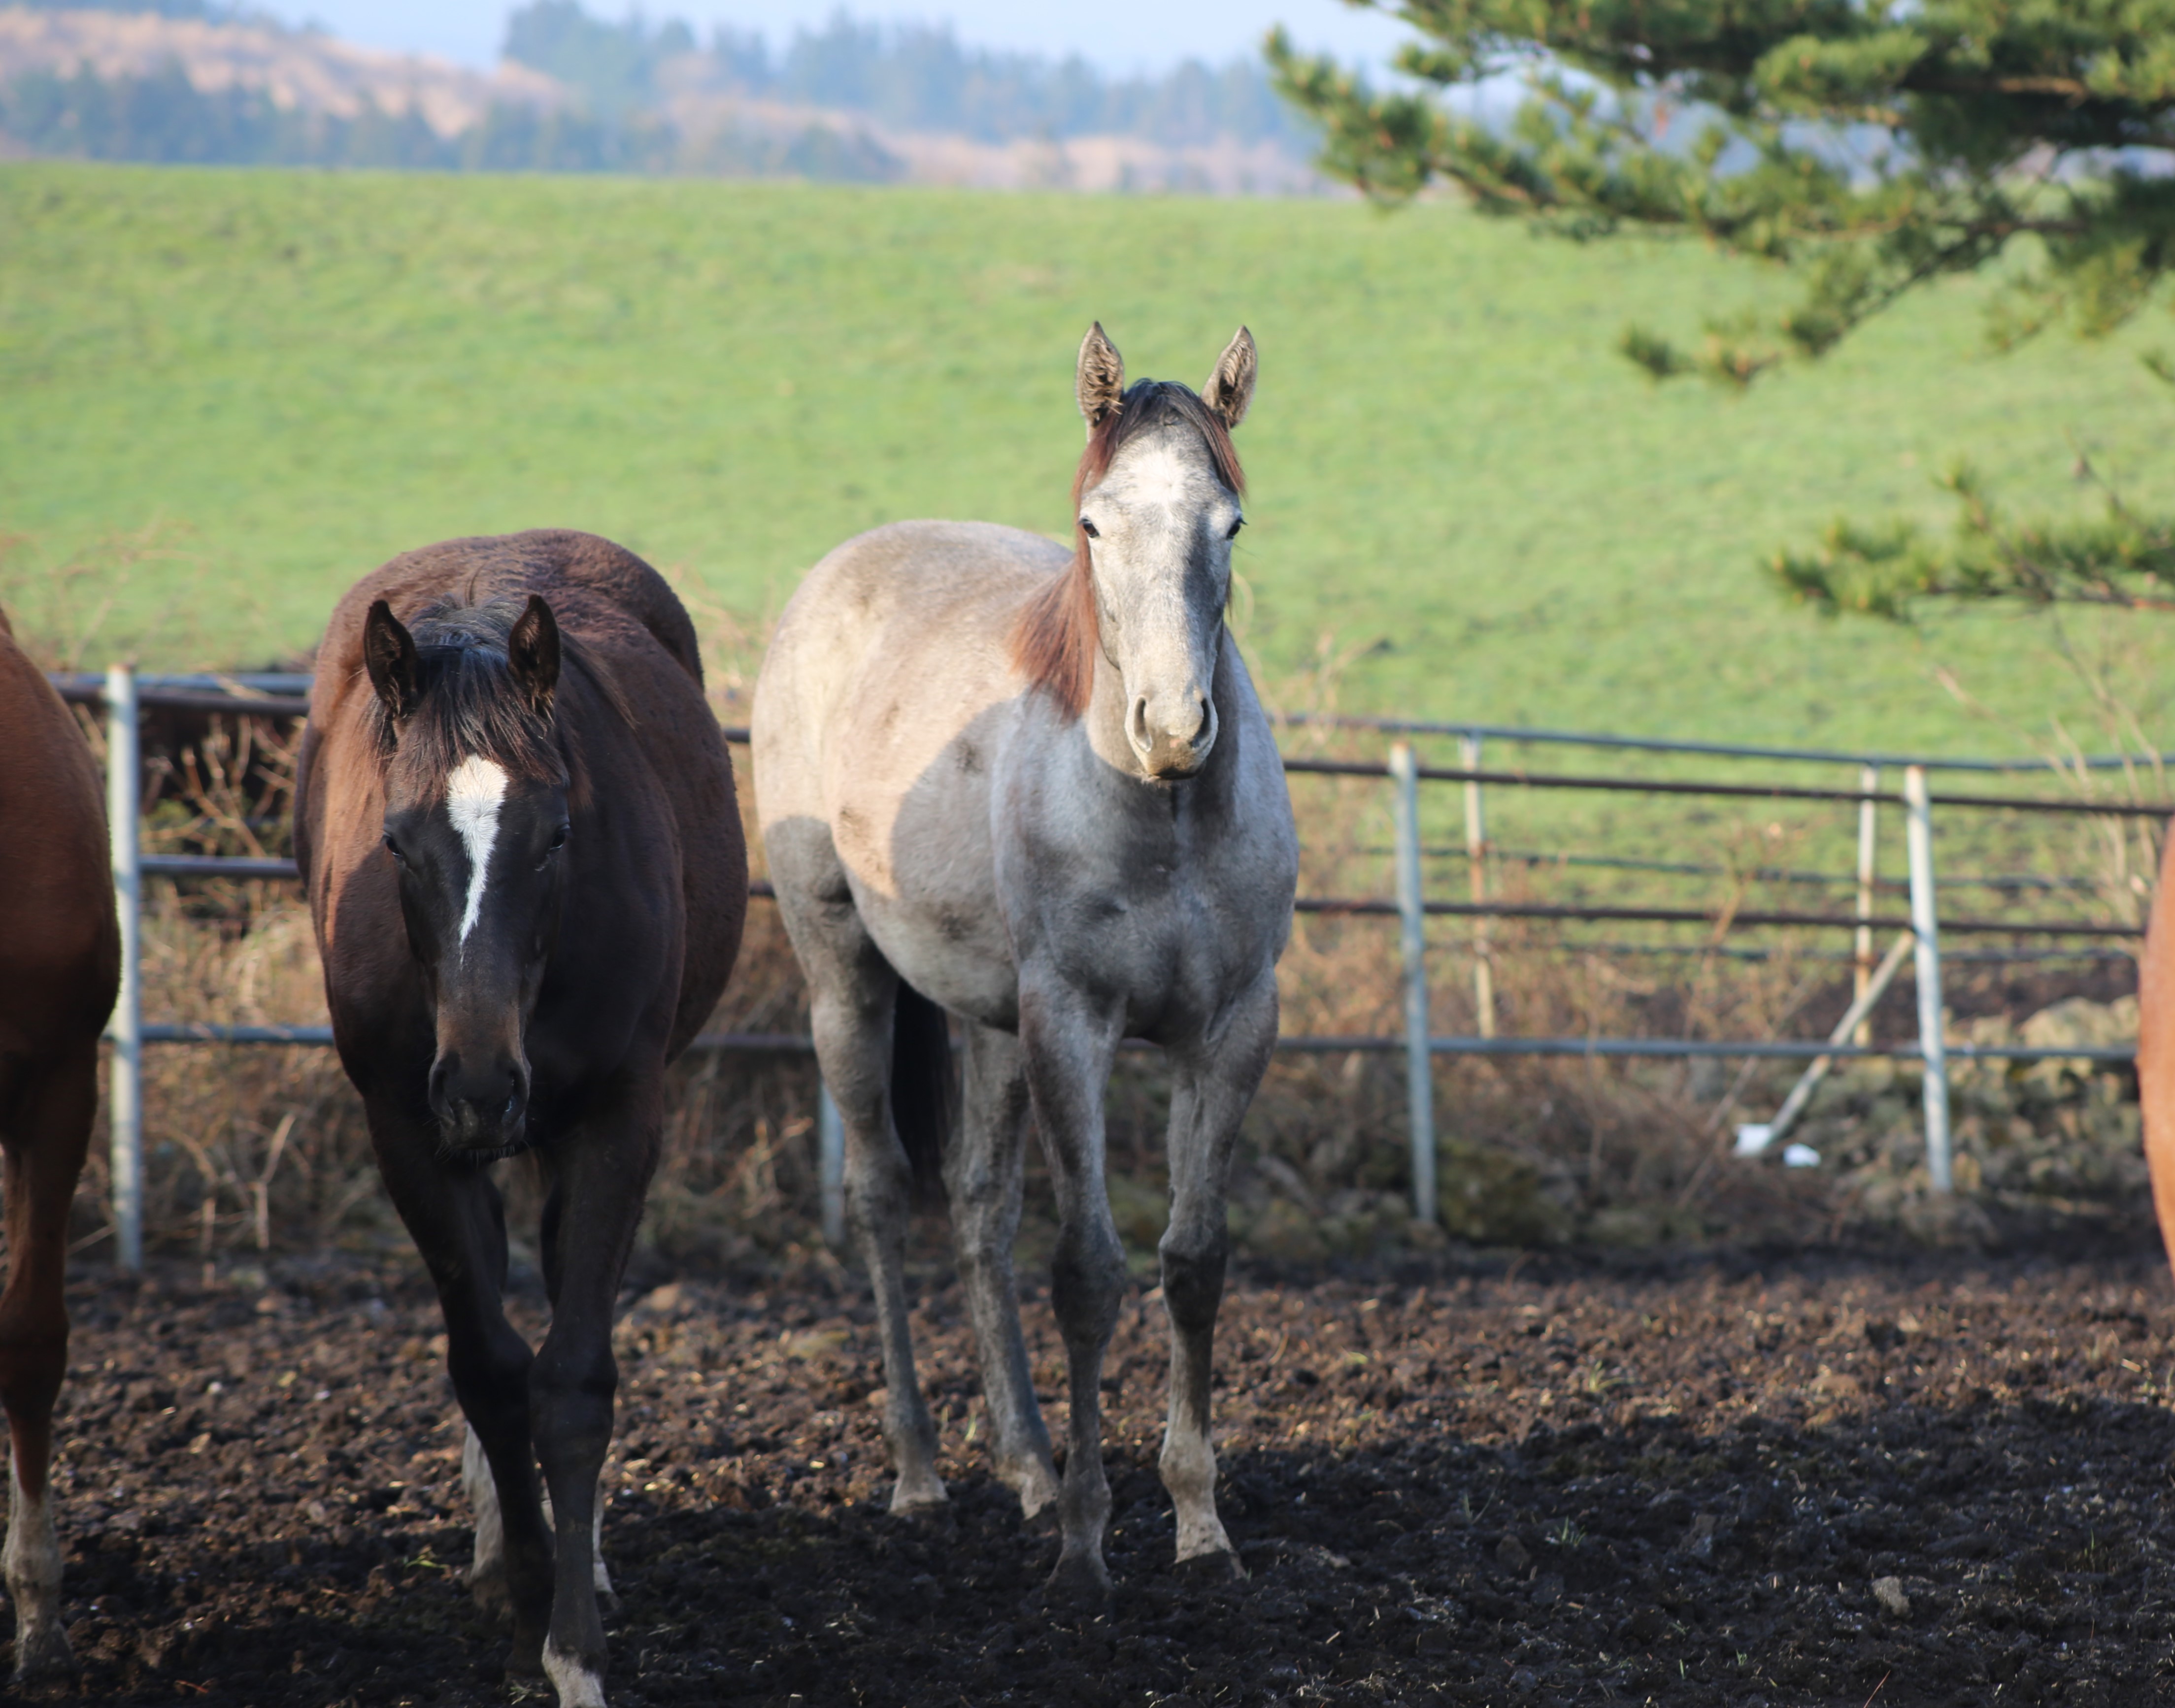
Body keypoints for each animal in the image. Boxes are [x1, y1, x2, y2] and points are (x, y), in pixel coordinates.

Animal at [752, 319, 1287, 1582]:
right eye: (1092, 523)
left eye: (1229, 524)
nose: (1172, 727)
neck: (1159, 816)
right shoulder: (1071, 1024)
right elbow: (1086, 1272)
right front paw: (1089, 1550)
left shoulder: (1230, 1030)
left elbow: (1192, 1262)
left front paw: (1199, 1528)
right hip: (844, 974)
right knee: (883, 1194)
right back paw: (921, 1475)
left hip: (984, 1018)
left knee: (975, 1208)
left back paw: (1029, 1470)